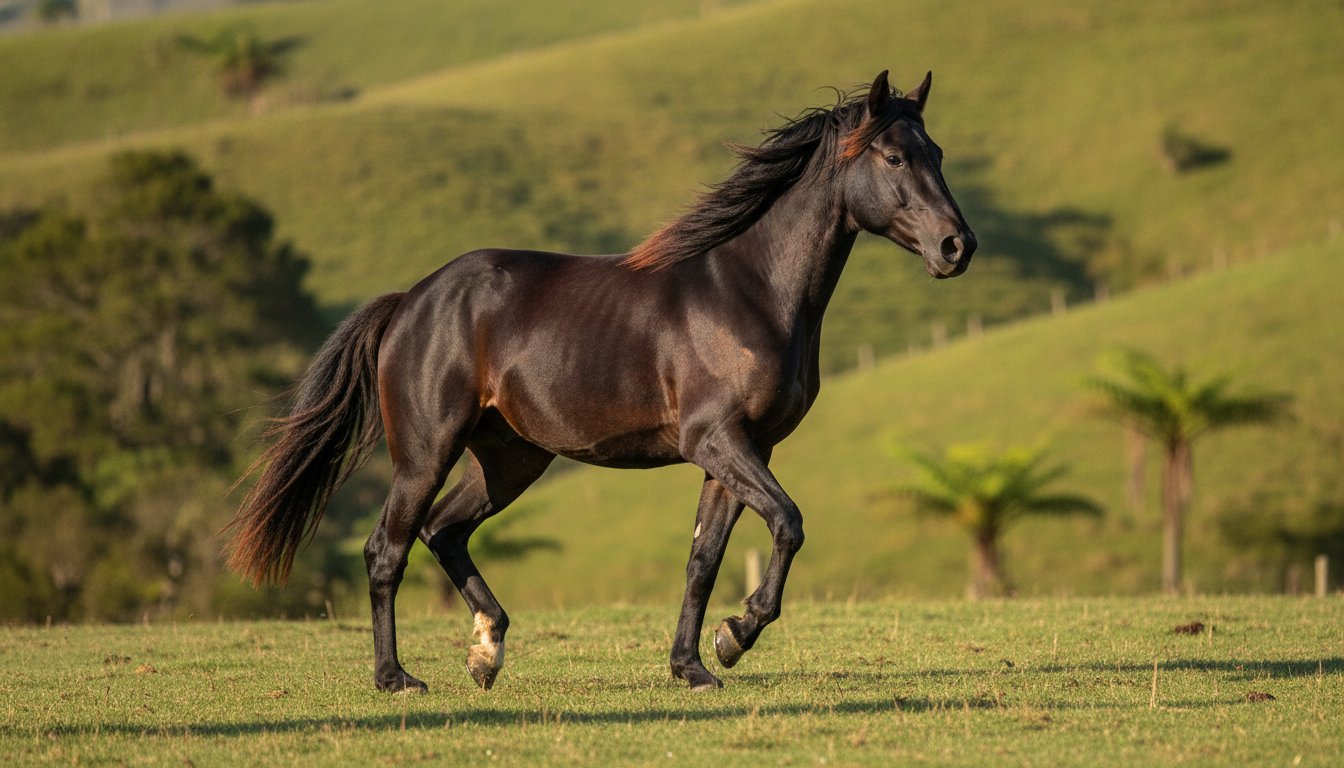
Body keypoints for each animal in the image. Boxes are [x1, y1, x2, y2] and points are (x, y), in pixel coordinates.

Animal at [227, 70, 976, 692]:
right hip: (425, 453)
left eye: (937, 153)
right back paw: (397, 679)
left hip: (510, 458)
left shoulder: (742, 451)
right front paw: (737, 636)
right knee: (388, 549)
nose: (957, 247)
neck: (752, 291)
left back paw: (487, 652)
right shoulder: (718, 440)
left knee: (444, 532)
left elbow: (704, 559)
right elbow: (789, 524)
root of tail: (410, 300)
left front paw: (695, 666)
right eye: (894, 157)